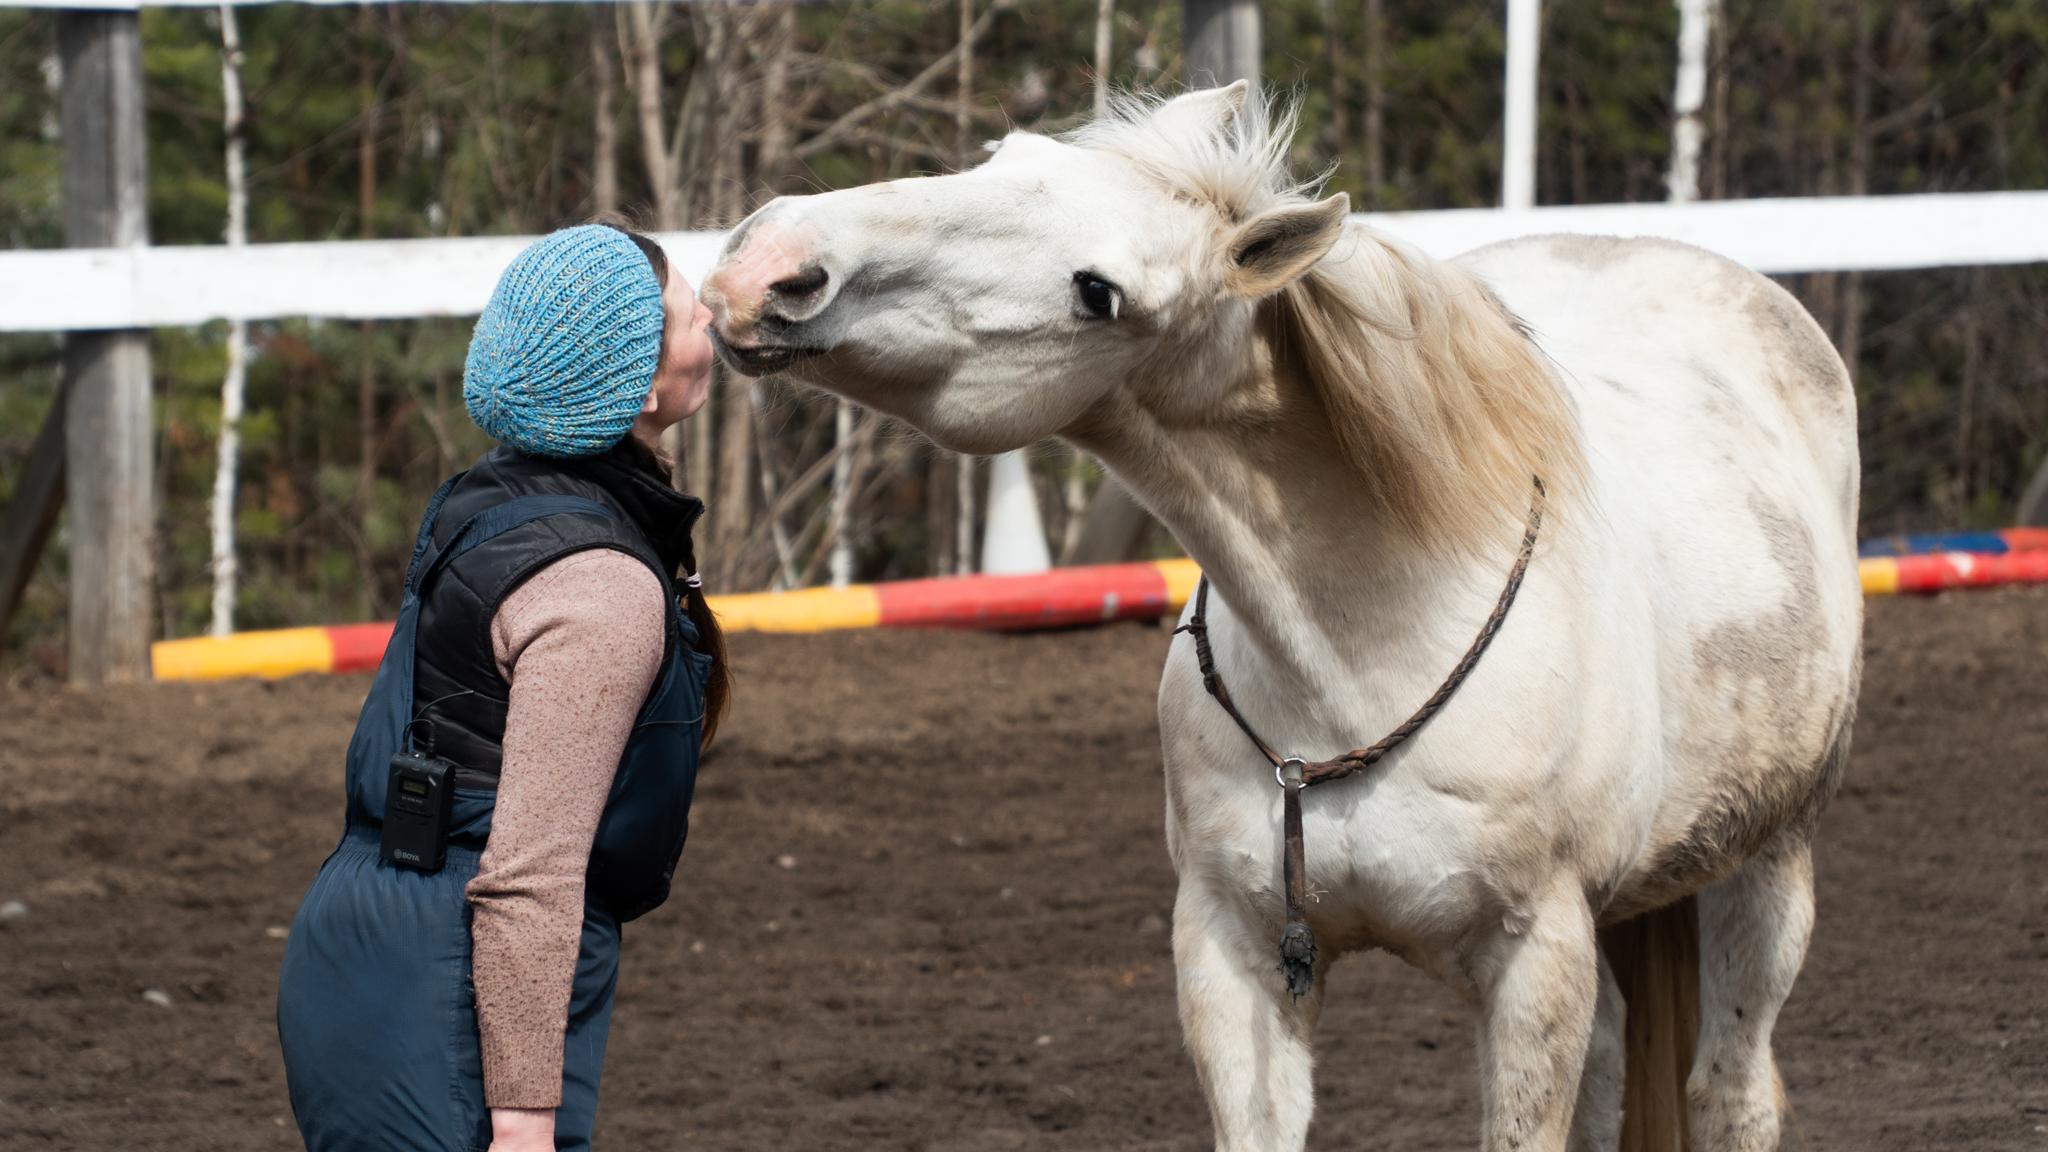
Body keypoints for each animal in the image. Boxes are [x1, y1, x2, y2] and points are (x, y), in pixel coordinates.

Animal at [700, 83, 1859, 1147]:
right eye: (1000, 155)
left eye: (1098, 293)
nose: (774, 260)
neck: (1364, 654)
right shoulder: (1231, 952)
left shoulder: (1538, 960)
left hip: (1770, 864)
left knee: (1732, 1088)